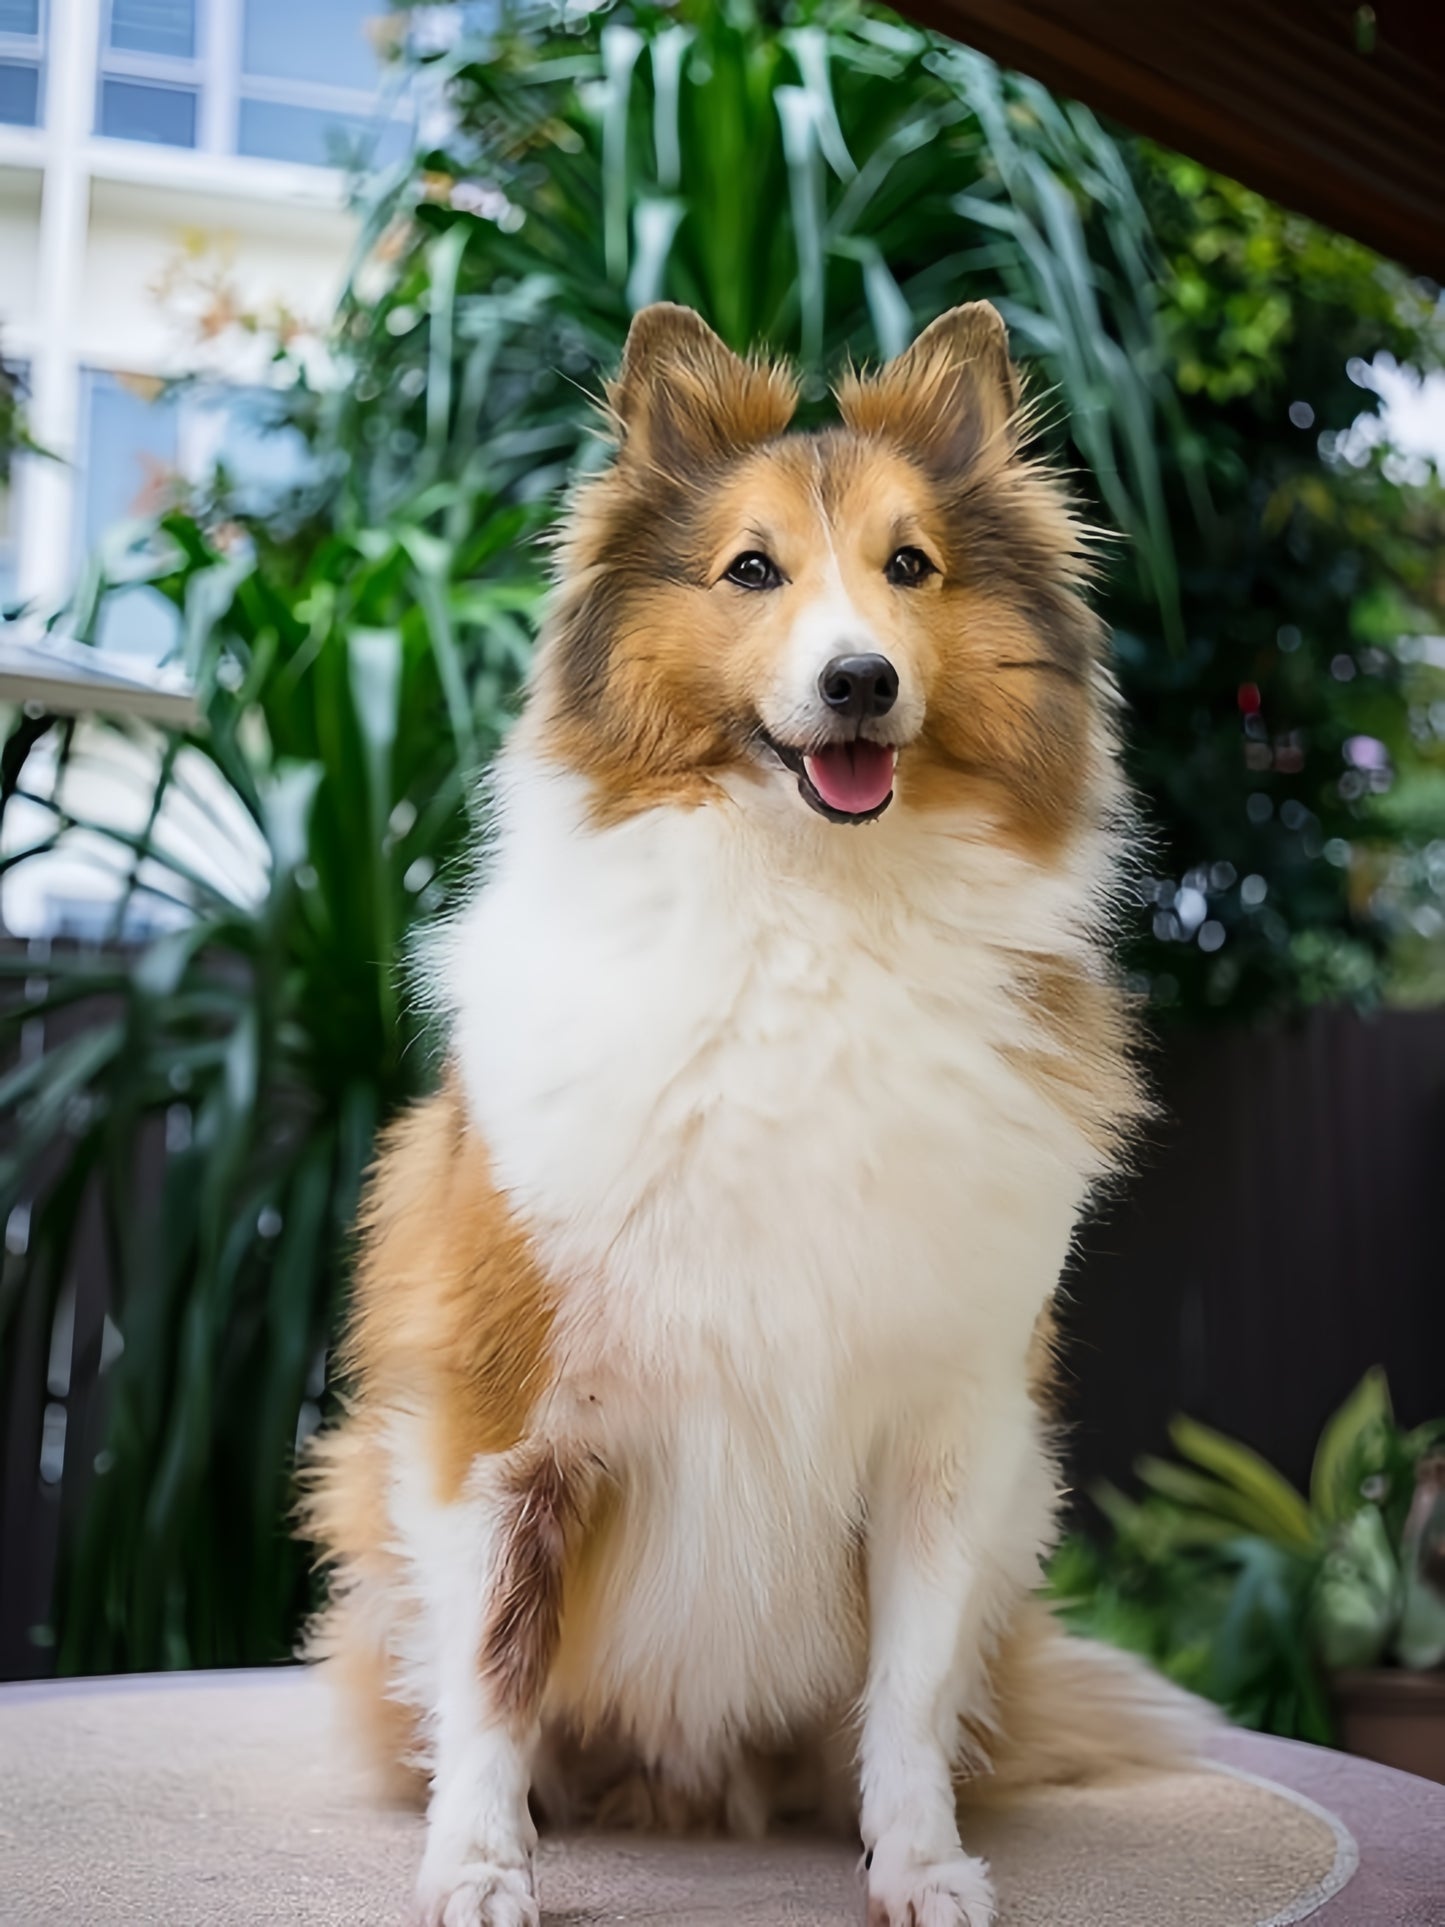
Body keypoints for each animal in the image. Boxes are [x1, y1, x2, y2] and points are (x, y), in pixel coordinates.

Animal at [308, 304, 1209, 1927]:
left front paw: (917, 1863)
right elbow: (493, 1668)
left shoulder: (949, 1435)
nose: (858, 682)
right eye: (749, 569)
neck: (812, 918)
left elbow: (907, 1689)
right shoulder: (502, 1420)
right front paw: (479, 1861)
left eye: (910, 565)